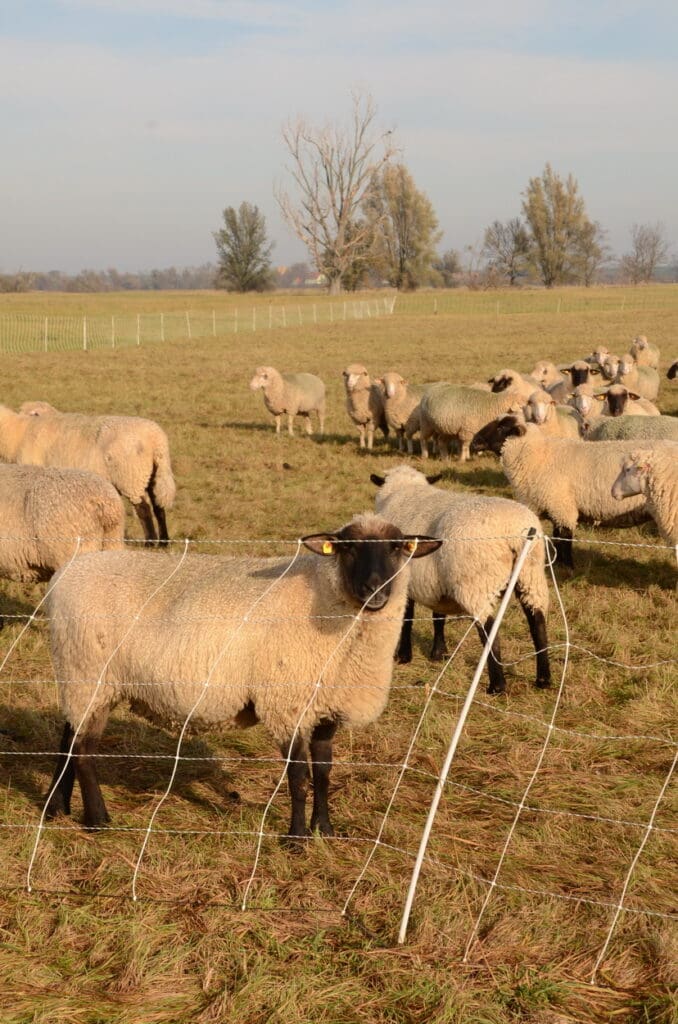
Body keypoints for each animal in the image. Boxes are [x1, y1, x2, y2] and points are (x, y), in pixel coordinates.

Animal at [5, 399, 175, 548]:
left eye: (34, 413)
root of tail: (156, 440)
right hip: (153, 474)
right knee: (158, 507)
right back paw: (163, 542)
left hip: (131, 476)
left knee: (144, 509)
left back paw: (150, 542)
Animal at [45, 516, 444, 835]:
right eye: (348, 549)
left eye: (398, 547)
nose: (374, 590)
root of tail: (67, 572)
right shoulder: (287, 704)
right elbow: (299, 776)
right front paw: (297, 838)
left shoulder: (328, 706)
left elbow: (323, 771)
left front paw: (326, 830)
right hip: (88, 672)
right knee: (82, 750)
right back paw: (98, 820)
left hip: (82, 677)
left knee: (68, 737)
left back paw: (55, 807)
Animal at [372, 466, 553, 696]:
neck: (403, 490)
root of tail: (512, 531)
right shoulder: (436, 582)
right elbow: (438, 616)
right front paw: (438, 653)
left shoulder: (404, 579)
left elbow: (407, 618)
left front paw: (403, 656)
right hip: (531, 576)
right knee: (537, 623)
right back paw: (543, 679)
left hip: (478, 583)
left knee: (489, 631)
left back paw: (497, 686)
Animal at [473, 417, 655, 577]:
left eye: (502, 427)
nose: (474, 441)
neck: (538, 457)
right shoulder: (555, 508)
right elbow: (556, 537)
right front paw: (558, 564)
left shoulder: (562, 507)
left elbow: (565, 538)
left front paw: (567, 568)